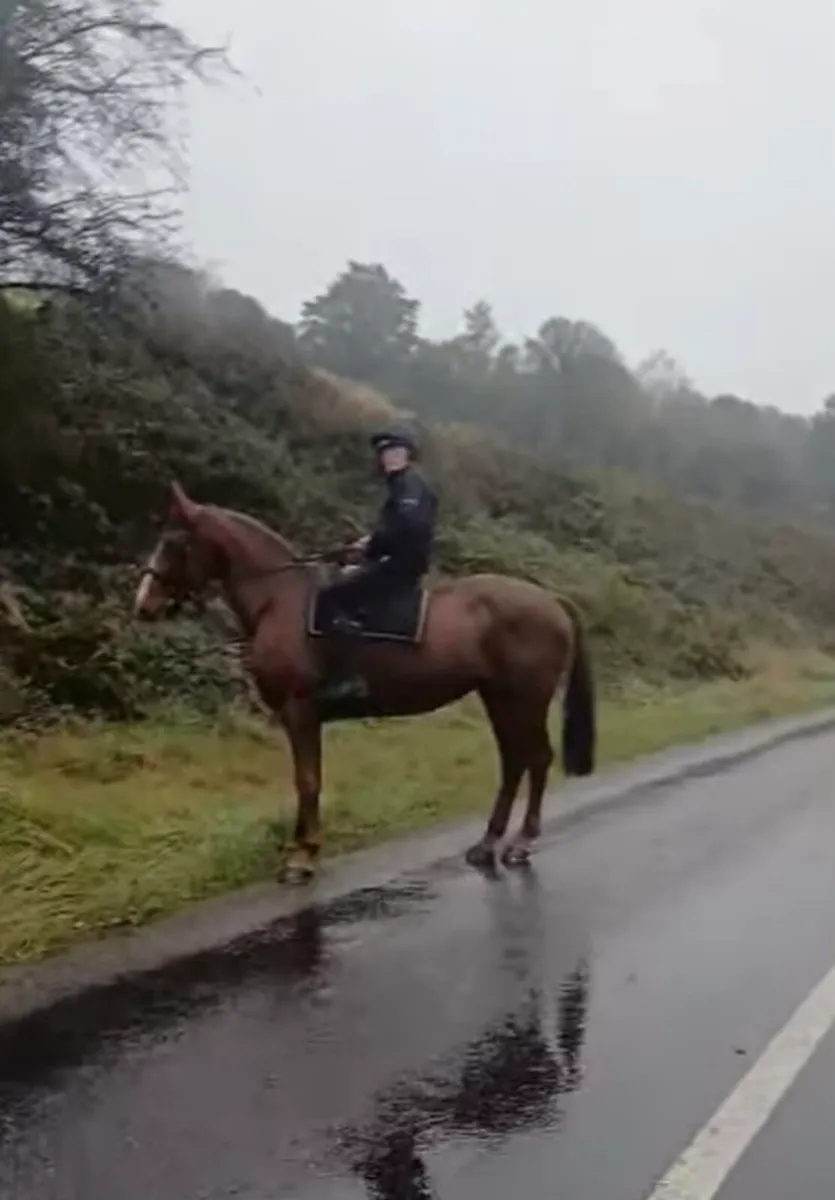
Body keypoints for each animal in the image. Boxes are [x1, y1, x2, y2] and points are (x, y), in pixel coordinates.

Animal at [134, 482, 596, 883]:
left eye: (174, 541)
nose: (144, 605)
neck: (280, 601)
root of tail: (551, 600)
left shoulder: (300, 711)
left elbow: (308, 781)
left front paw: (303, 857)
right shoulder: (301, 717)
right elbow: (306, 778)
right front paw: (302, 847)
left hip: (526, 698)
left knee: (537, 759)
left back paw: (521, 842)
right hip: (498, 697)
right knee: (514, 761)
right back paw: (488, 843)